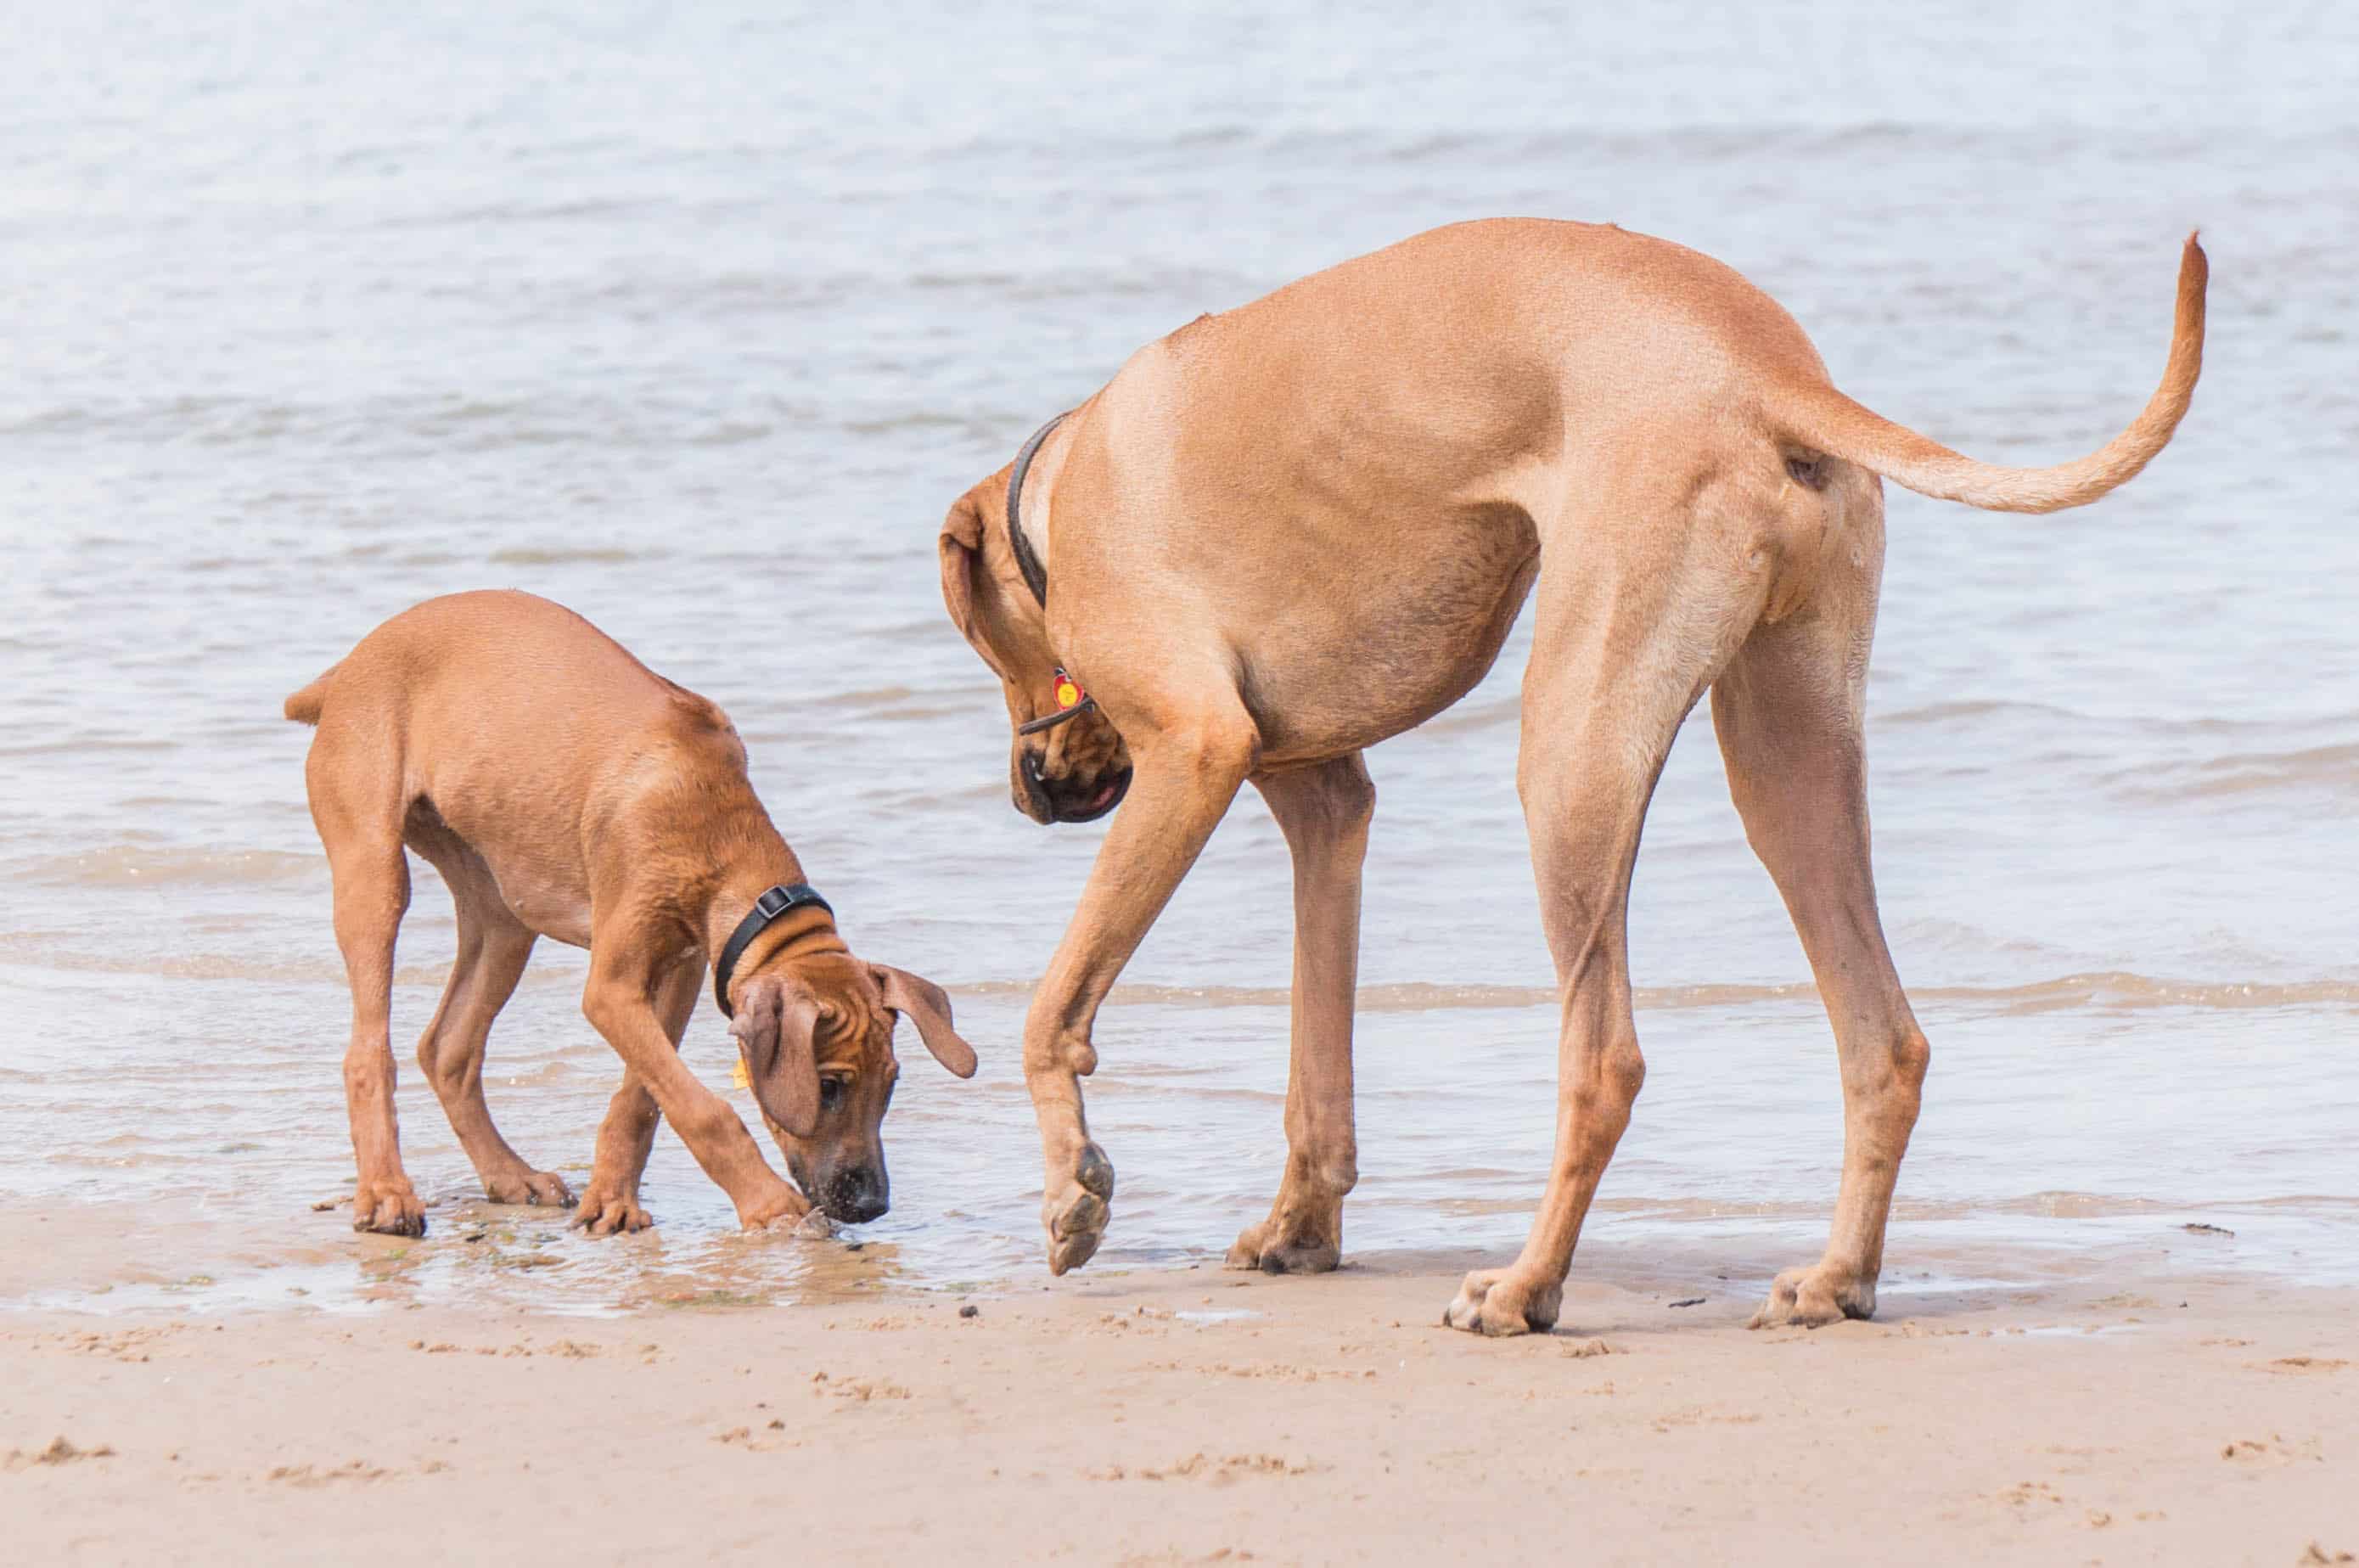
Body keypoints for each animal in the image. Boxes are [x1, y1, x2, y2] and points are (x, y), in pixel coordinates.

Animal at [288, 587, 976, 1235]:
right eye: (829, 1086)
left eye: (891, 1083)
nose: (871, 1206)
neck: (715, 826)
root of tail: (348, 667)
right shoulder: (613, 988)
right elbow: (701, 1106)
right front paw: (769, 1206)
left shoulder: (683, 970)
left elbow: (643, 1097)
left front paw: (613, 1200)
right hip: (375, 874)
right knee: (369, 1050)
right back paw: (386, 1194)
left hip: (503, 911)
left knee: (448, 1048)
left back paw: (510, 1176)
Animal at [939, 211, 2208, 1329]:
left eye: (975, 633)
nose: (1031, 787)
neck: (1066, 481)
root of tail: (1759, 365)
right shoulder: (1326, 805)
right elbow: (1316, 1056)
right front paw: (1297, 1227)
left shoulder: (1194, 754)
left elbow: (1052, 1006)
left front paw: (1072, 1190)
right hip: (1787, 754)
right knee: (1882, 1038)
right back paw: (1835, 1277)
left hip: (1568, 749)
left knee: (1603, 1059)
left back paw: (1522, 1287)